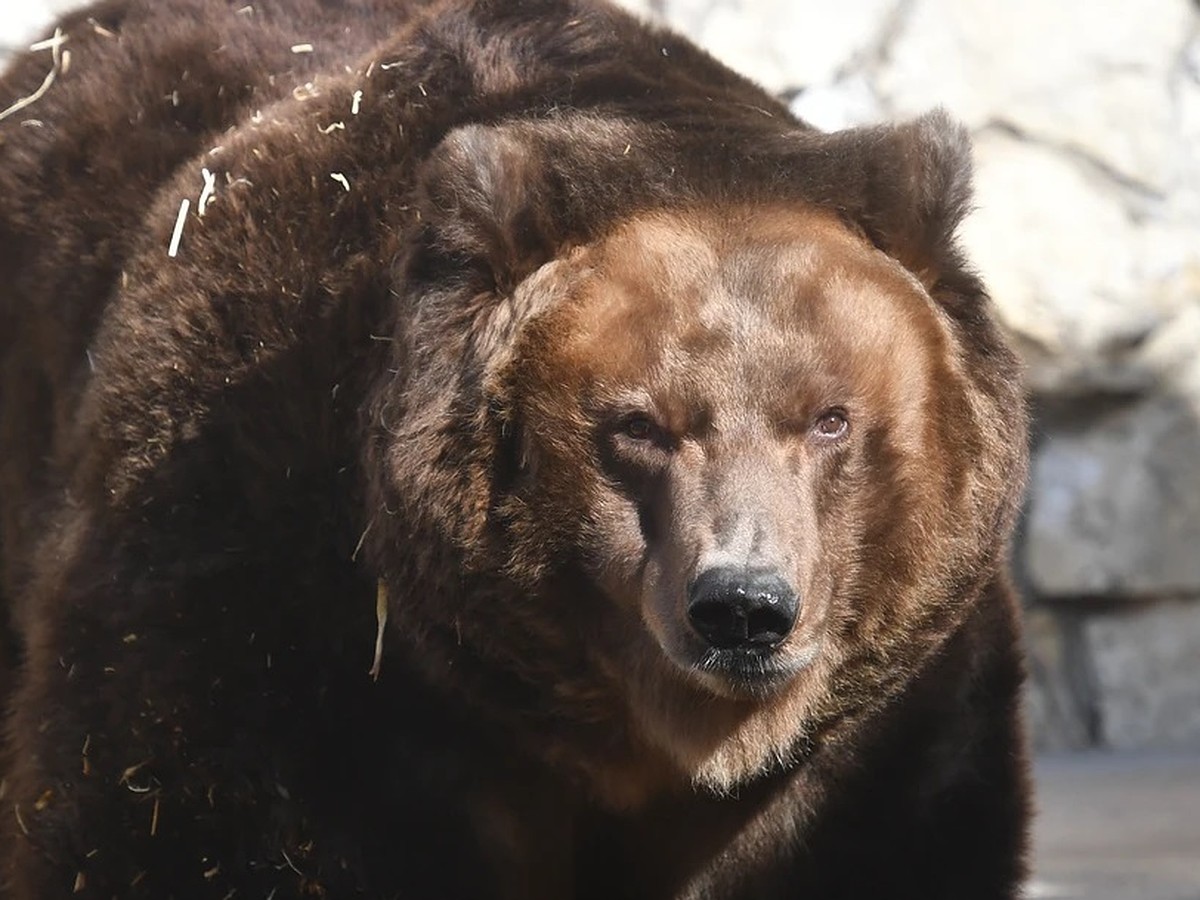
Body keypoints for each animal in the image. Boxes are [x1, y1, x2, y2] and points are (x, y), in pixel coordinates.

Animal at [0, 0, 1032, 897]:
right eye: (639, 424)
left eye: (828, 419)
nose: (742, 607)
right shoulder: (274, 582)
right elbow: (182, 816)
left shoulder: (880, 740)